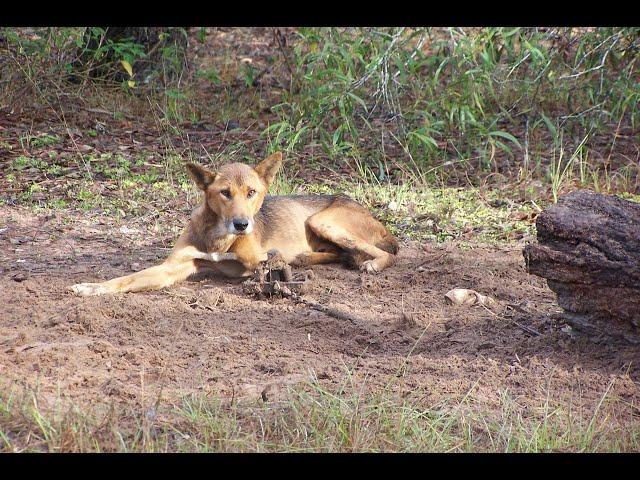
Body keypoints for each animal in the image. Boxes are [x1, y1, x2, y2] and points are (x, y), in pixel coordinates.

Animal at [69, 154, 396, 296]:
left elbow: (266, 268)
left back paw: (371, 264)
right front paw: (93, 287)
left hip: (321, 220)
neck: (218, 238)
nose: (242, 224)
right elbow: (125, 279)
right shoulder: (173, 268)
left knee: (390, 253)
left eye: (252, 192)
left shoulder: (257, 261)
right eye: (225, 193)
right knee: (340, 254)